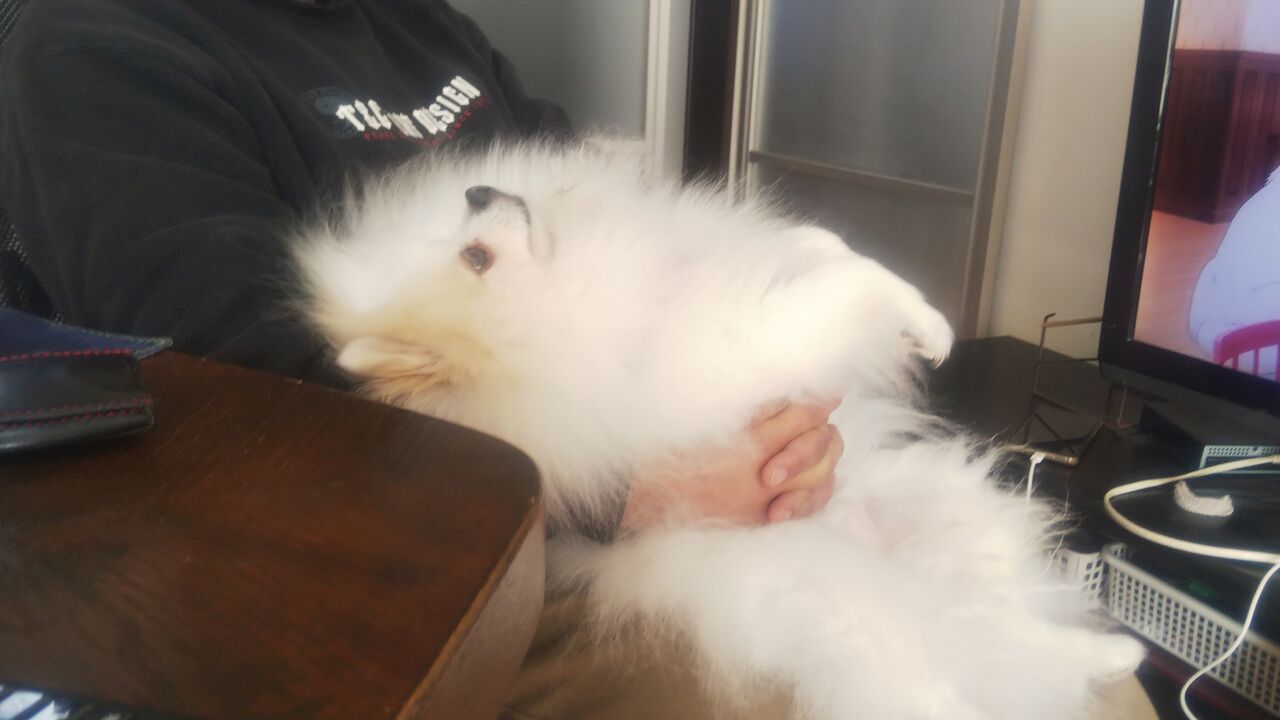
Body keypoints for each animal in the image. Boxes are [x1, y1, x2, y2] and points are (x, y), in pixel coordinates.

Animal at [296, 139, 1143, 719]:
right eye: (476, 257)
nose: (477, 188)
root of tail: (898, 576)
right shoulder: (737, 347)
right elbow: (841, 285)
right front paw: (926, 322)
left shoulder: (706, 264)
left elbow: (812, 247)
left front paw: (906, 308)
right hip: (854, 626)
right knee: (948, 678)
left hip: (946, 511)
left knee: (1009, 622)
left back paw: (1114, 646)